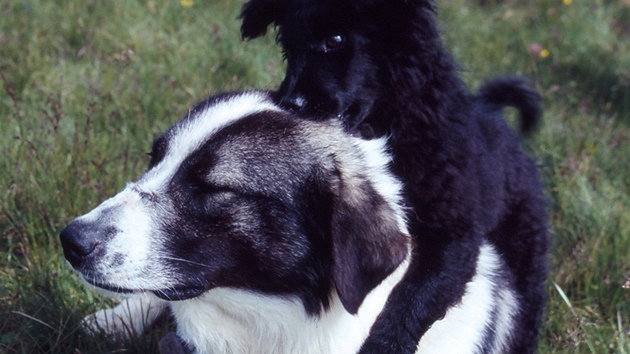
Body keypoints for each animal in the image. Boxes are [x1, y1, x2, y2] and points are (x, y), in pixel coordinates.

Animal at [242, 1, 552, 352]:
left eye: (335, 40)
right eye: (287, 47)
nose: (289, 103)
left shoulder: (453, 234)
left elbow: (415, 297)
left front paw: (385, 344)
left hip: (525, 247)